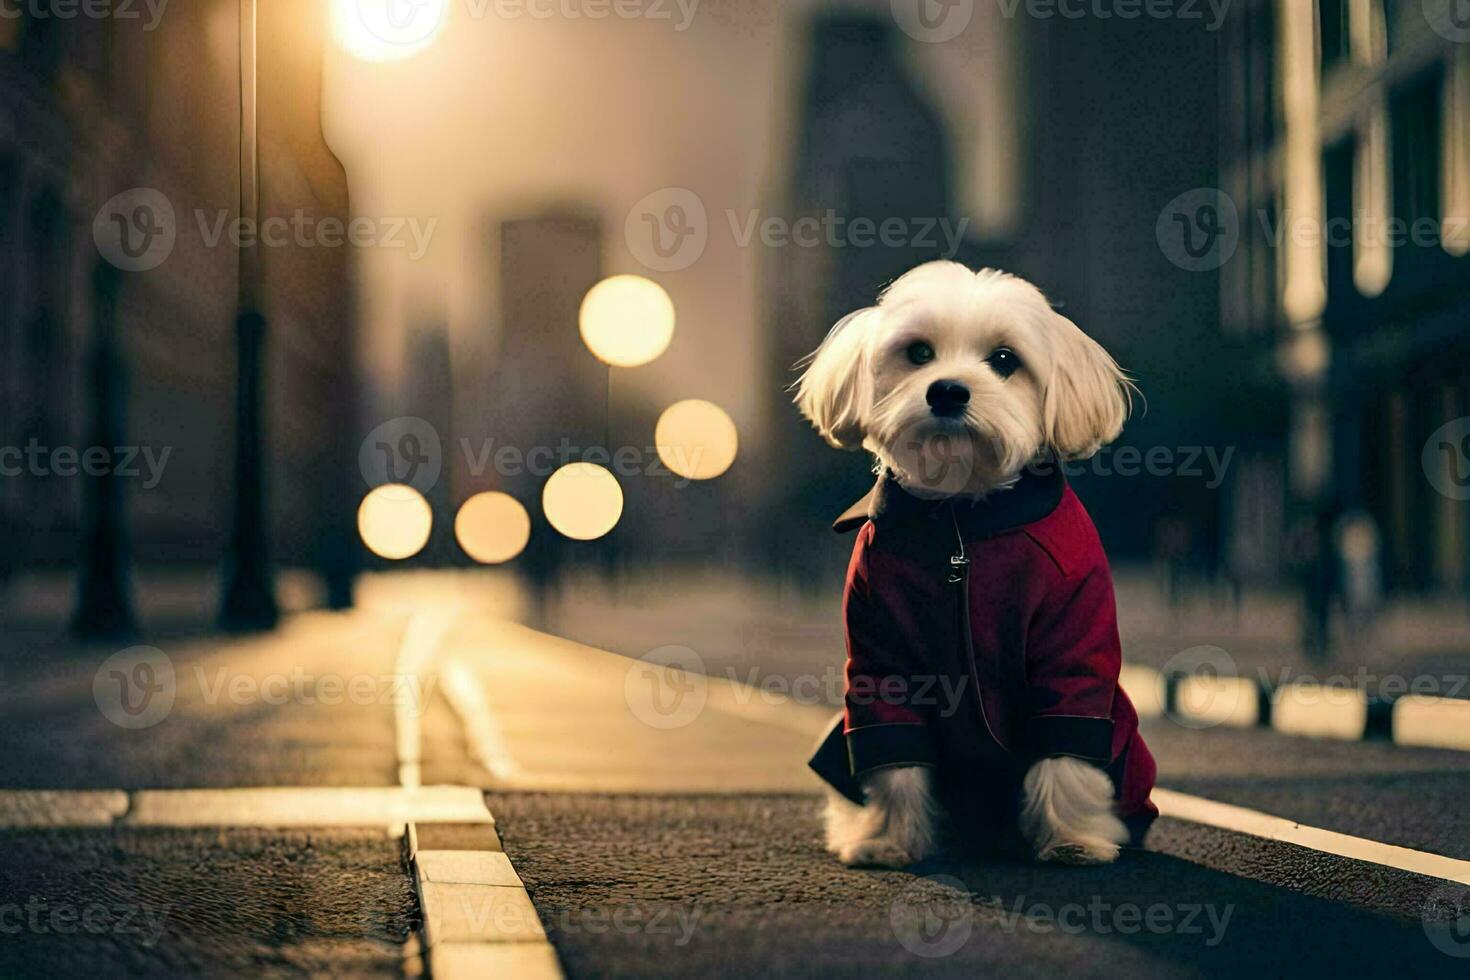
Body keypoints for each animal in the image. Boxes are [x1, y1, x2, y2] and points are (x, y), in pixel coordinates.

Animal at [799, 260, 1152, 863]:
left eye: (1005, 360)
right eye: (918, 353)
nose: (946, 391)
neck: (962, 519)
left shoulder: (1072, 654)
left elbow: (1065, 752)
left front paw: (1072, 839)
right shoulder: (881, 663)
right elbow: (894, 761)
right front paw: (891, 840)